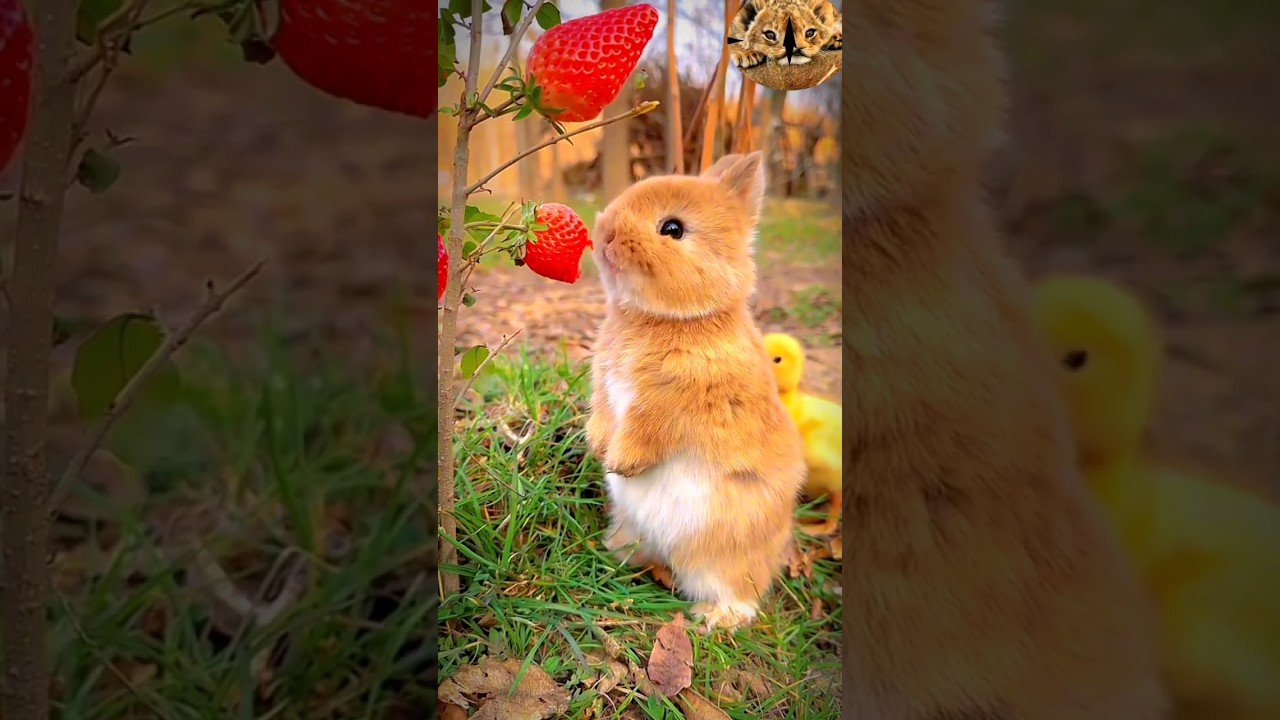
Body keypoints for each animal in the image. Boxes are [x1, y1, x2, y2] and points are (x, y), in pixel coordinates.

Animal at [586, 151, 806, 634]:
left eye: (673, 229)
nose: (605, 231)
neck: (670, 318)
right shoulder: (606, 390)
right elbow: (604, 416)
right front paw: (599, 448)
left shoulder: (670, 405)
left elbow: (647, 431)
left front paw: (621, 463)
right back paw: (616, 553)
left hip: (723, 553)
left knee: (740, 592)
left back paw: (715, 618)